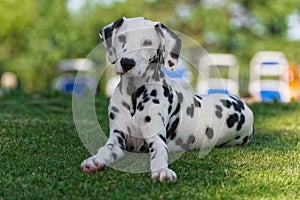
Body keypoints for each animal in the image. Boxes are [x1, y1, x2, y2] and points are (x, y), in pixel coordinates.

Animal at [80, 16, 253, 183]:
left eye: (147, 42)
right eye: (122, 38)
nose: (127, 63)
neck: (134, 95)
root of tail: (244, 105)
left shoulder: (156, 139)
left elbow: (160, 152)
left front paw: (162, 170)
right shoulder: (117, 140)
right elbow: (105, 149)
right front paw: (94, 160)